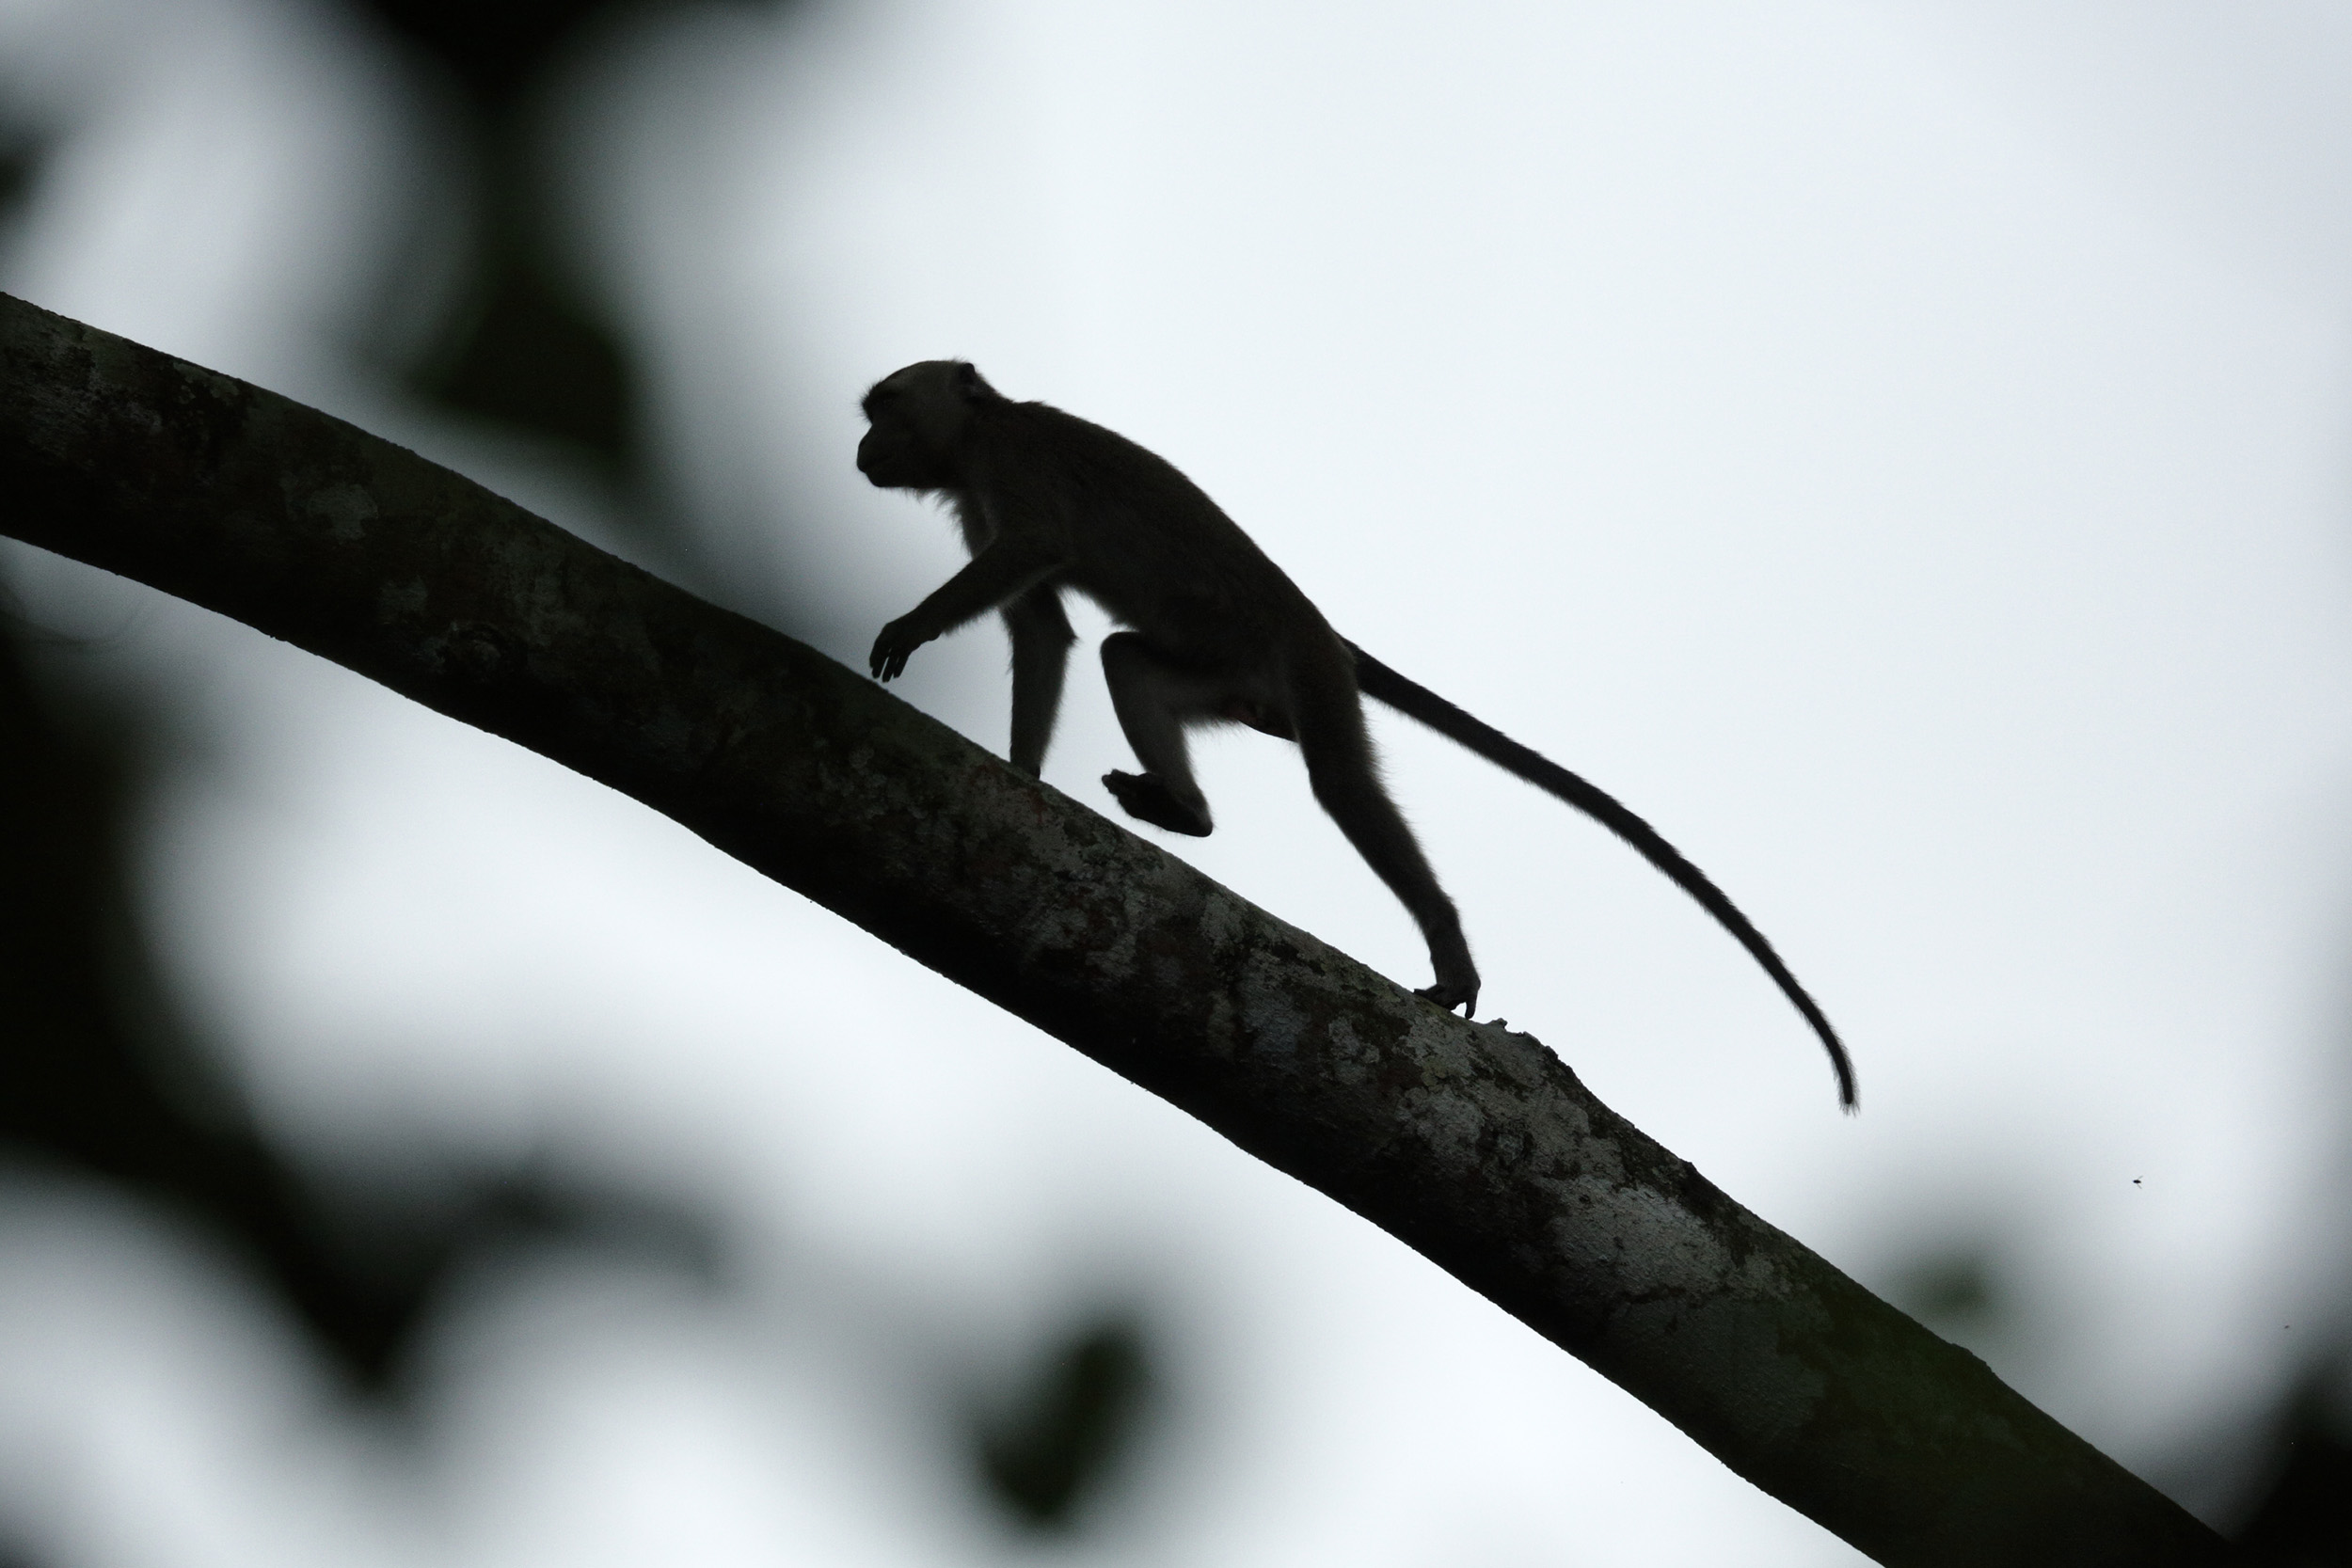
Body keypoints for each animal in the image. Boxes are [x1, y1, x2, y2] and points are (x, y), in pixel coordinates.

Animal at [856, 360, 1857, 1110]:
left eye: (883, 405)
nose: (860, 445)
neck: (979, 436)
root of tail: (1322, 631)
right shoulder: (975, 492)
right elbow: (1045, 629)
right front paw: (1023, 772)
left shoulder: (1011, 467)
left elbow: (1035, 556)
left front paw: (910, 628)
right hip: (1241, 676)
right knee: (1129, 660)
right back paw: (1185, 810)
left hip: (1301, 666)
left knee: (1338, 781)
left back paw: (1443, 934)